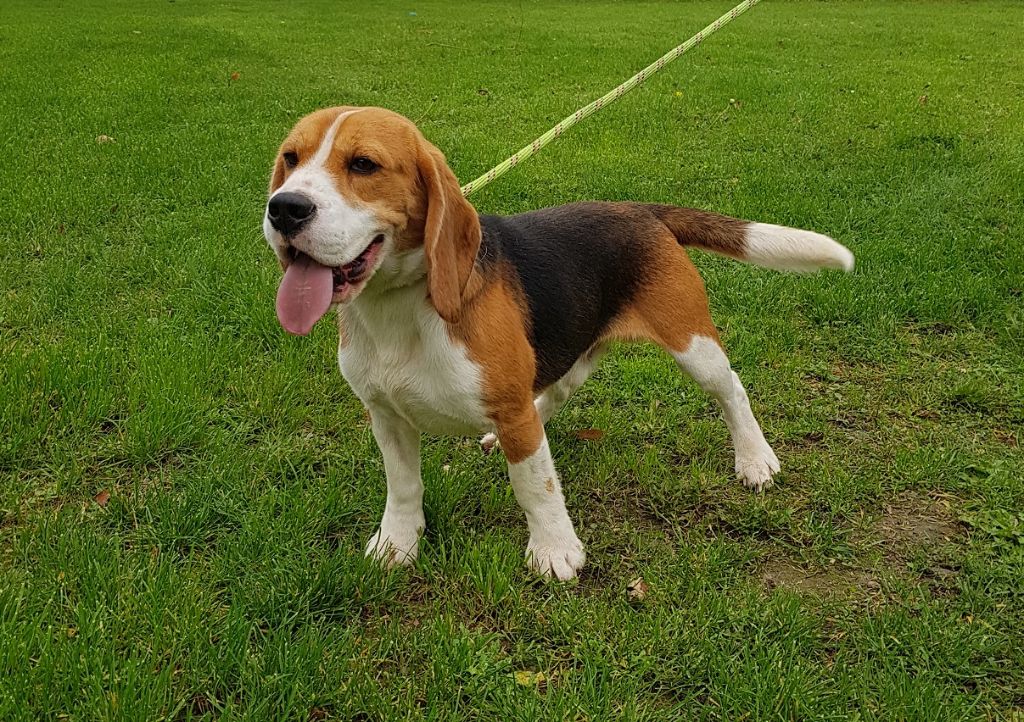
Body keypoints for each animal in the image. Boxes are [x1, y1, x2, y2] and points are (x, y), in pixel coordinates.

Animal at [262, 106, 853, 580]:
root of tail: (641, 210)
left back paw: (755, 459)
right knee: (553, 396)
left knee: (730, 388)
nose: (284, 208)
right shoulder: (386, 415)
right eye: (290, 158)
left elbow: (535, 484)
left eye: (363, 165)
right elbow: (403, 486)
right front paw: (397, 545)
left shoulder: (508, 409)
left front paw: (555, 551)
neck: (398, 308)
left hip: (691, 342)